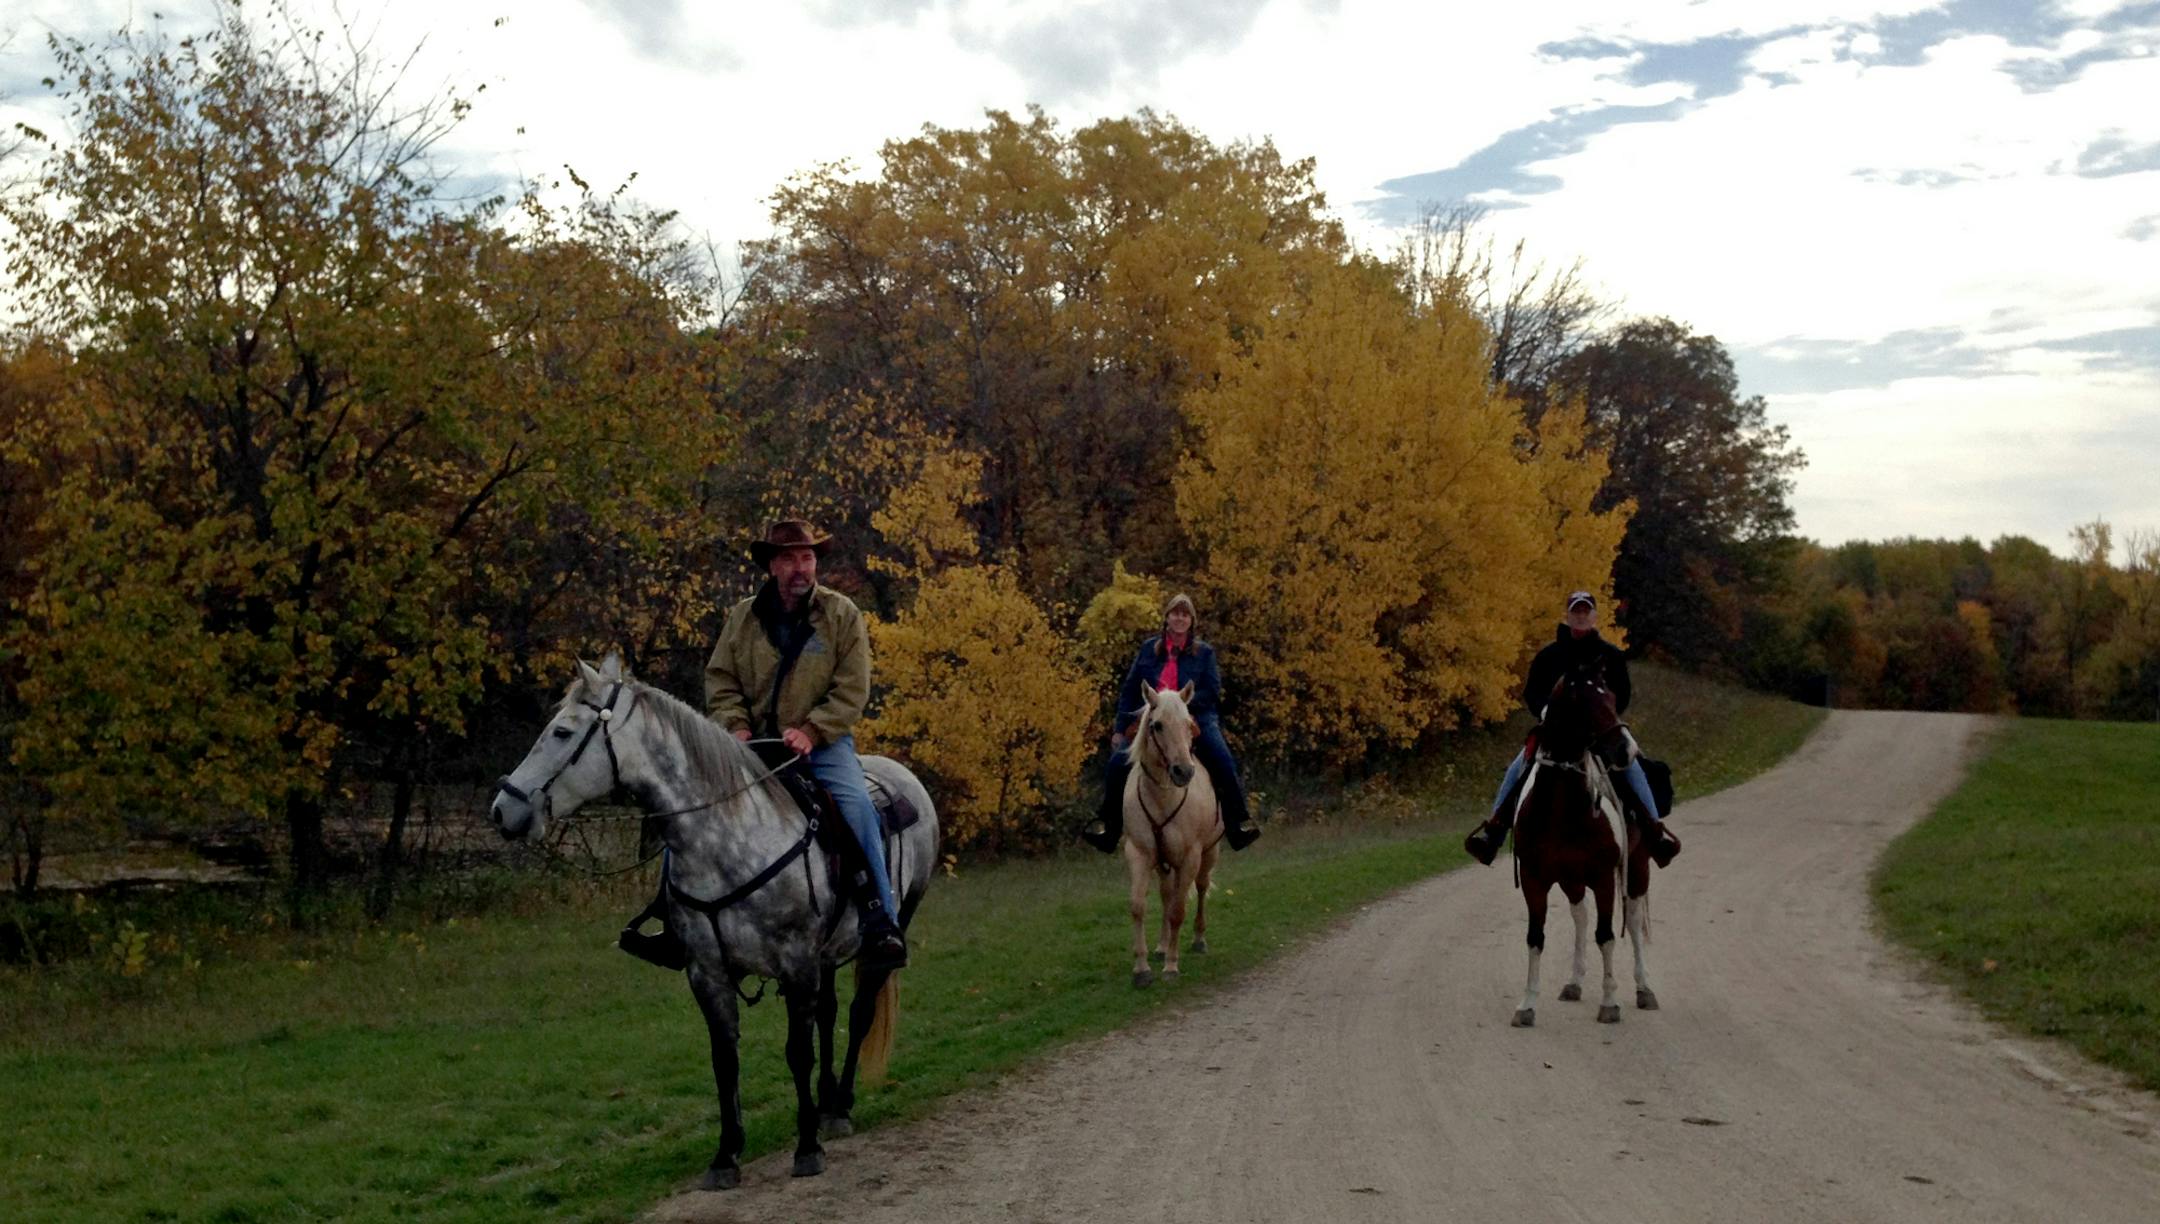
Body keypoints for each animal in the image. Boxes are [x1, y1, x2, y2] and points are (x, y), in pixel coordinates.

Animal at [489, 654, 940, 1190]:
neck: (728, 838)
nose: (503, 810)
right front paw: (726, 1155)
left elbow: (797, 1052)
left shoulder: (796, 962)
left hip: (885, 933)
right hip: (827, 955)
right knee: (829, 1014)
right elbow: (725, 1061)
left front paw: (807, 1147)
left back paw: (841, 1105)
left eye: (561, 732)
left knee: (859, 1011)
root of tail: (903, 777)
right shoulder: (709, 973)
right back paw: (828, 1102)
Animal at [1120, 681, 1222, 989]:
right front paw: (1141, 968)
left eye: (1189, 724)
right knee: (1167, 895)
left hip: (1209, 853)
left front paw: (1171, 966)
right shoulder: (1139, 854)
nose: (1183, 771)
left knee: (1200, 888)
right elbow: (1138, 905)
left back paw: (1198, 940)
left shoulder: (1190, 857)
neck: (1163, 797)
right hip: (1164, 864)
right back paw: (1162, 946)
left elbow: (1178, 911)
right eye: (1157, 725)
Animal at [1505, 664, 1655, 1028]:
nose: (1626, 750)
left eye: (1612, 698)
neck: (1561, 809)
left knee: (1632, 920)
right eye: (1583, 703)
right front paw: (1527, 1005)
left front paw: (1610, 1001)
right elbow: (1535, 938)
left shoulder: (1602, 878)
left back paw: (1644, 988)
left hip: (1637, 868)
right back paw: (1574, 982)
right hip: (1571, 879)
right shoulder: (1534, 879)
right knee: (1580, 915)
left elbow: (1607, 936)